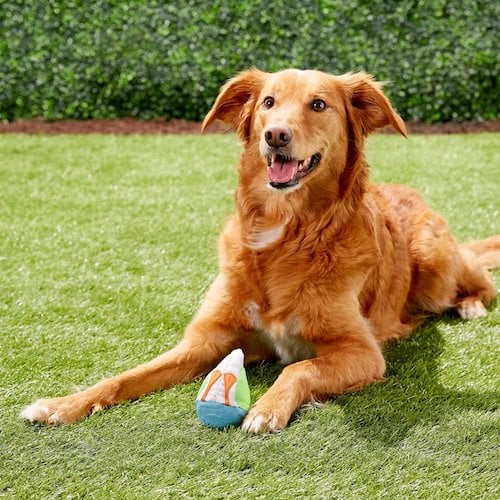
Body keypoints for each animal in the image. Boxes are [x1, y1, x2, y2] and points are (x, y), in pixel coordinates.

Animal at [22, 68, 500, 432]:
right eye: (269, 102)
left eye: (318, 105)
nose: (275, 135)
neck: (286, 233)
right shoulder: (204, 340)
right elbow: (126, 376)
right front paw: (63, 403)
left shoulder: (362, 352)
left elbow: (297, 367)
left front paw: (268, 408)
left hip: (433, 261)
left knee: (479, 278)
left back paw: (471, 305)